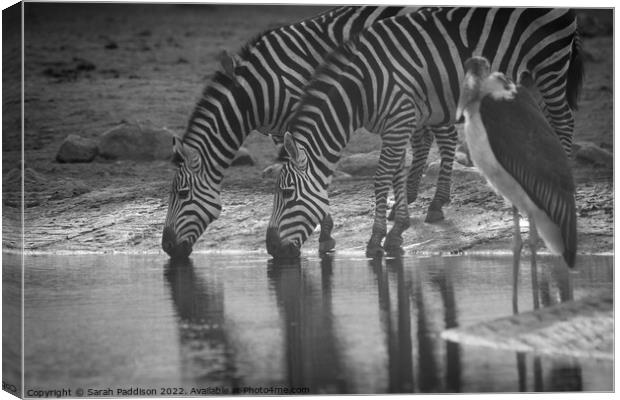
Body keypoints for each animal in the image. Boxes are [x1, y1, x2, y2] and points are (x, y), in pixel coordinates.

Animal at [266, 7, 580, 258]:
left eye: (288, 193)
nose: (271, 249)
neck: (360, 91)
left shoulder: (399, 117)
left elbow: (382, 177)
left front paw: (378, 238)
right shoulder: (395, 124)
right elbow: (396, 172)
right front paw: (398, 230)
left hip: (550, 63)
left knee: (563, 121)